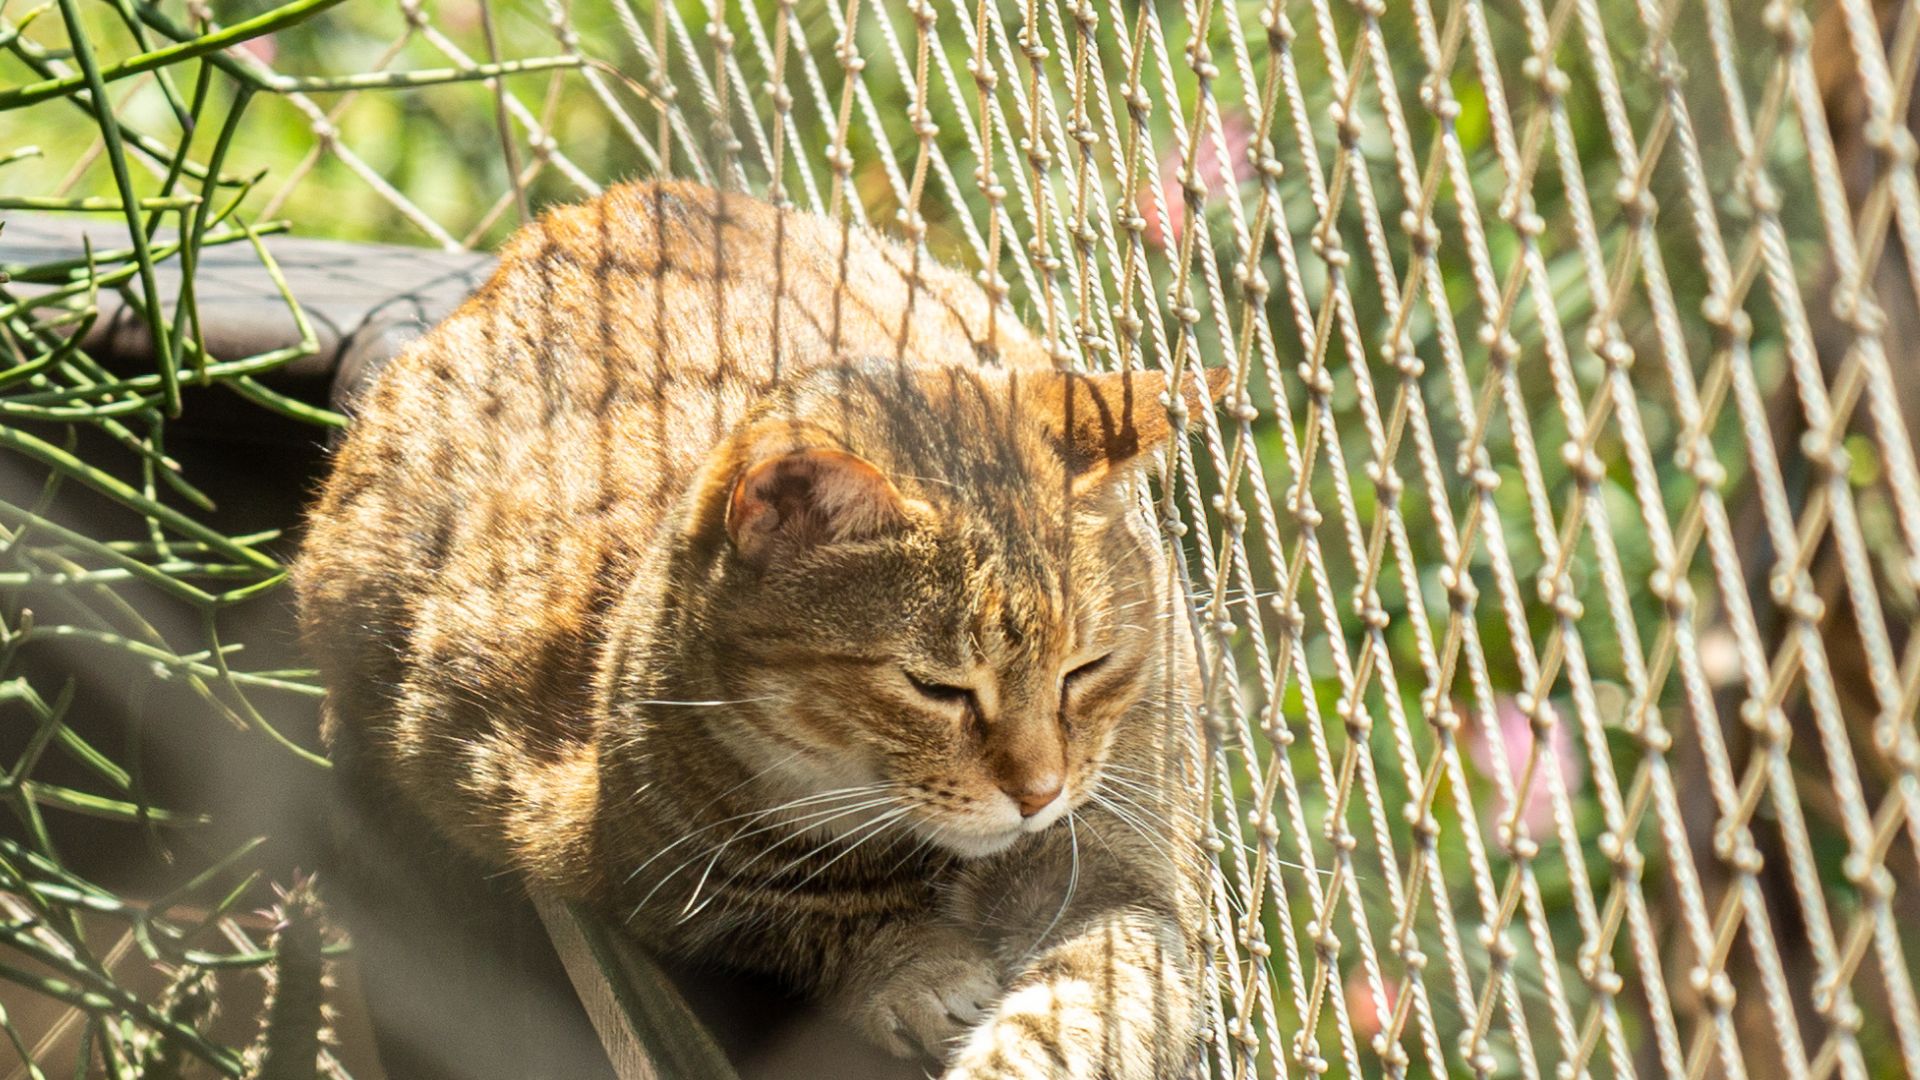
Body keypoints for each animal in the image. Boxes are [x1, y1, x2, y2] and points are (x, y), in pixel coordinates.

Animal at [299, 180, 1228, 1068]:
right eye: (934, 688)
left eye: (1087, 669)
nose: (1039, 794)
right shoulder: (648, 871)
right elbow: (809, 921)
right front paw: (916, 970)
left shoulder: (1122, 880)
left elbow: (1081, 1009)